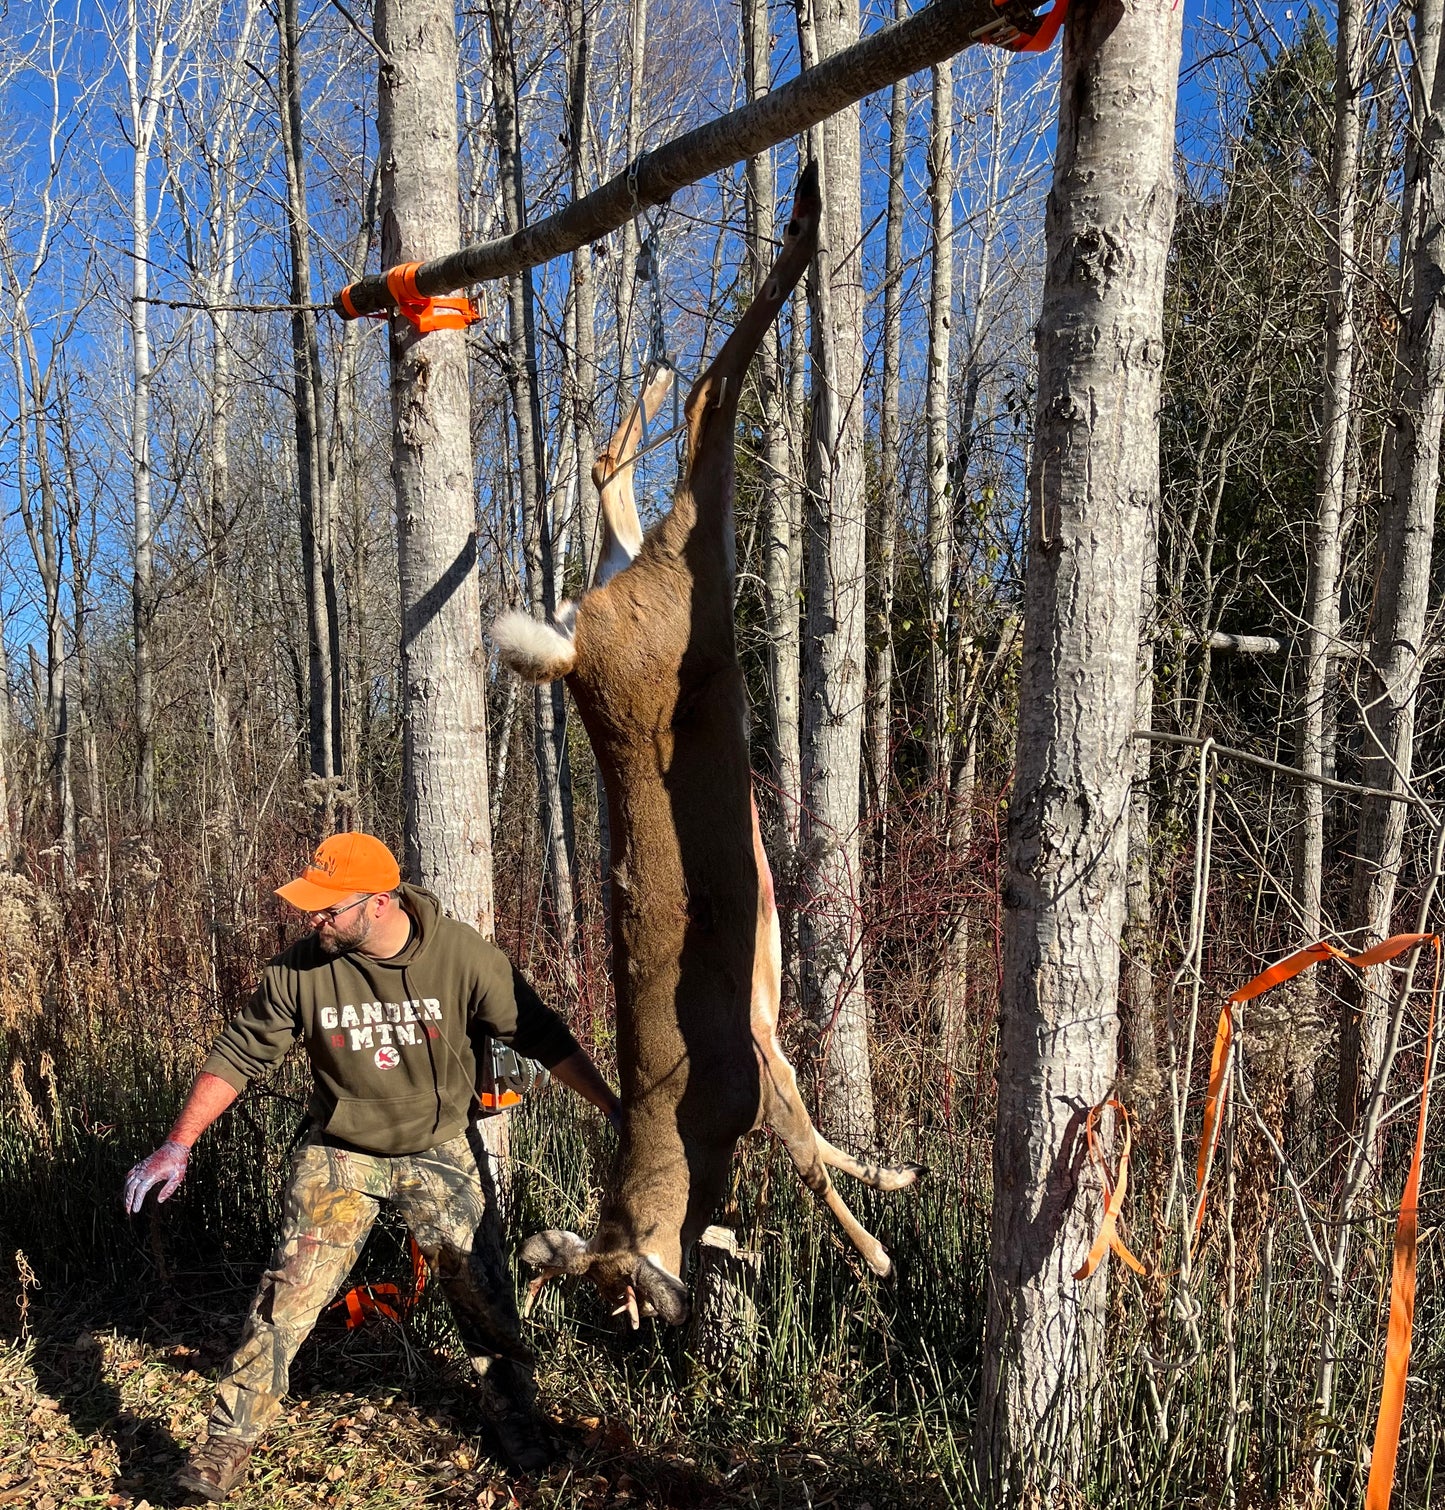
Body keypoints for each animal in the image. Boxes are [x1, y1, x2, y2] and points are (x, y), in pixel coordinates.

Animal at [490, 165, 920, 1326]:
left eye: (618, 1300)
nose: (658, 1321)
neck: (677, 1136)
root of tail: (577, 652)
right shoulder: (772, 1055)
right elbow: (820, 1143)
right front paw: (889, 1192)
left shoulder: (751, 1077)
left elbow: (813, 1160)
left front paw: (876, 1248)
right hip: (667, 561)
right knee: (620, 455)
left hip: (686, 564)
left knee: (697, 411)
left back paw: (773, 245)